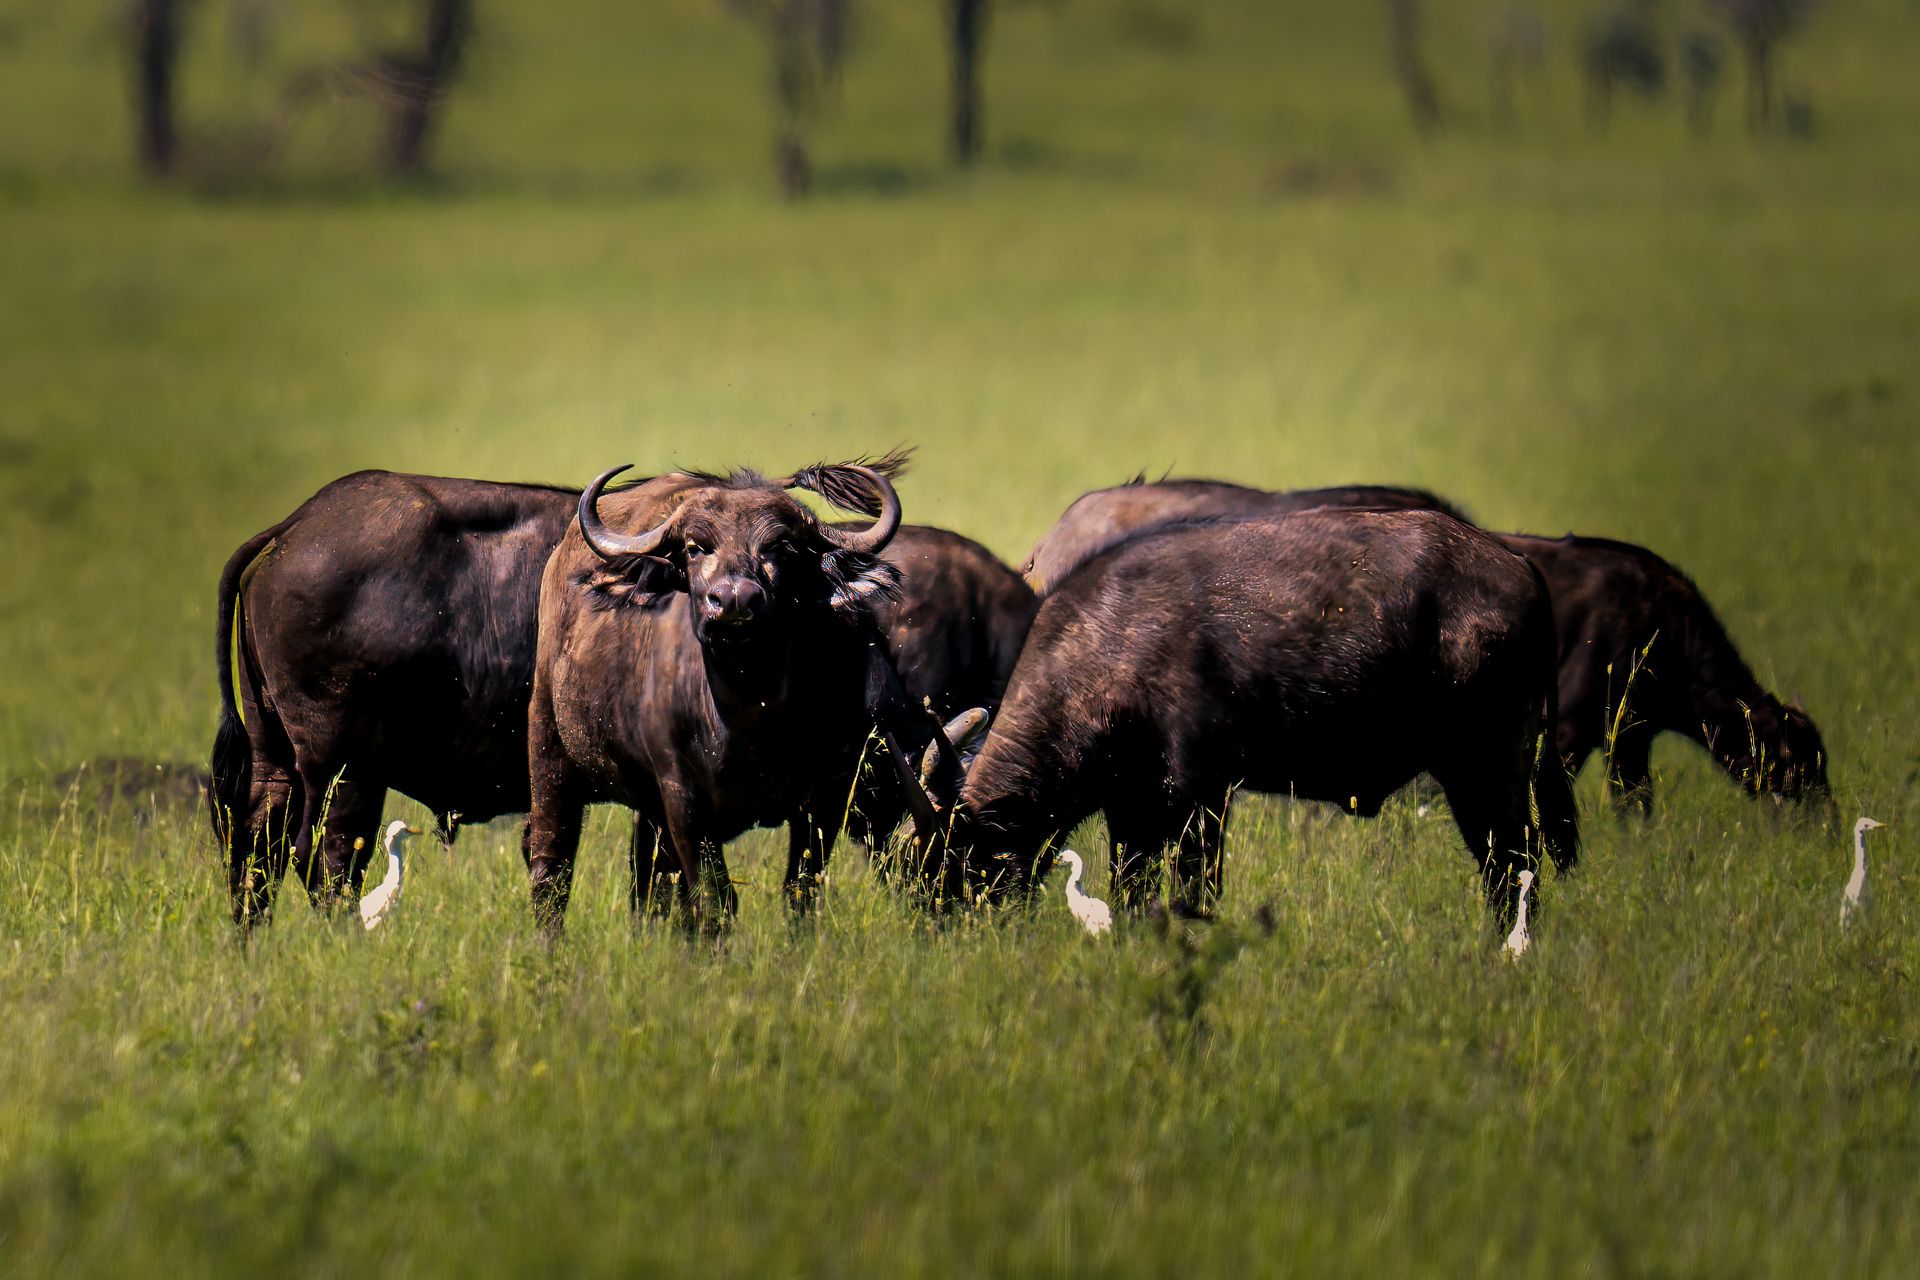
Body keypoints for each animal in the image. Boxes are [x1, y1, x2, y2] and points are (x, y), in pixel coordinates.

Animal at [912, 508, 1578, 924]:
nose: (932, 922)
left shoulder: (1202, 799)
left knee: (1512, 866)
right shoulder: (1131, 811)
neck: (1111, 651)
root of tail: (1518, 567)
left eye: (949, 859)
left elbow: (1195, 890)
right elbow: (1131, 895)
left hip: (1488, 769)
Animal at [1022, 477, 1829, 814]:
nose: (1821, 820)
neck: (1657, 625)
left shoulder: (1625, 737)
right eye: (1802, 762)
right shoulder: (1575, 732)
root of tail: (1053, 540)